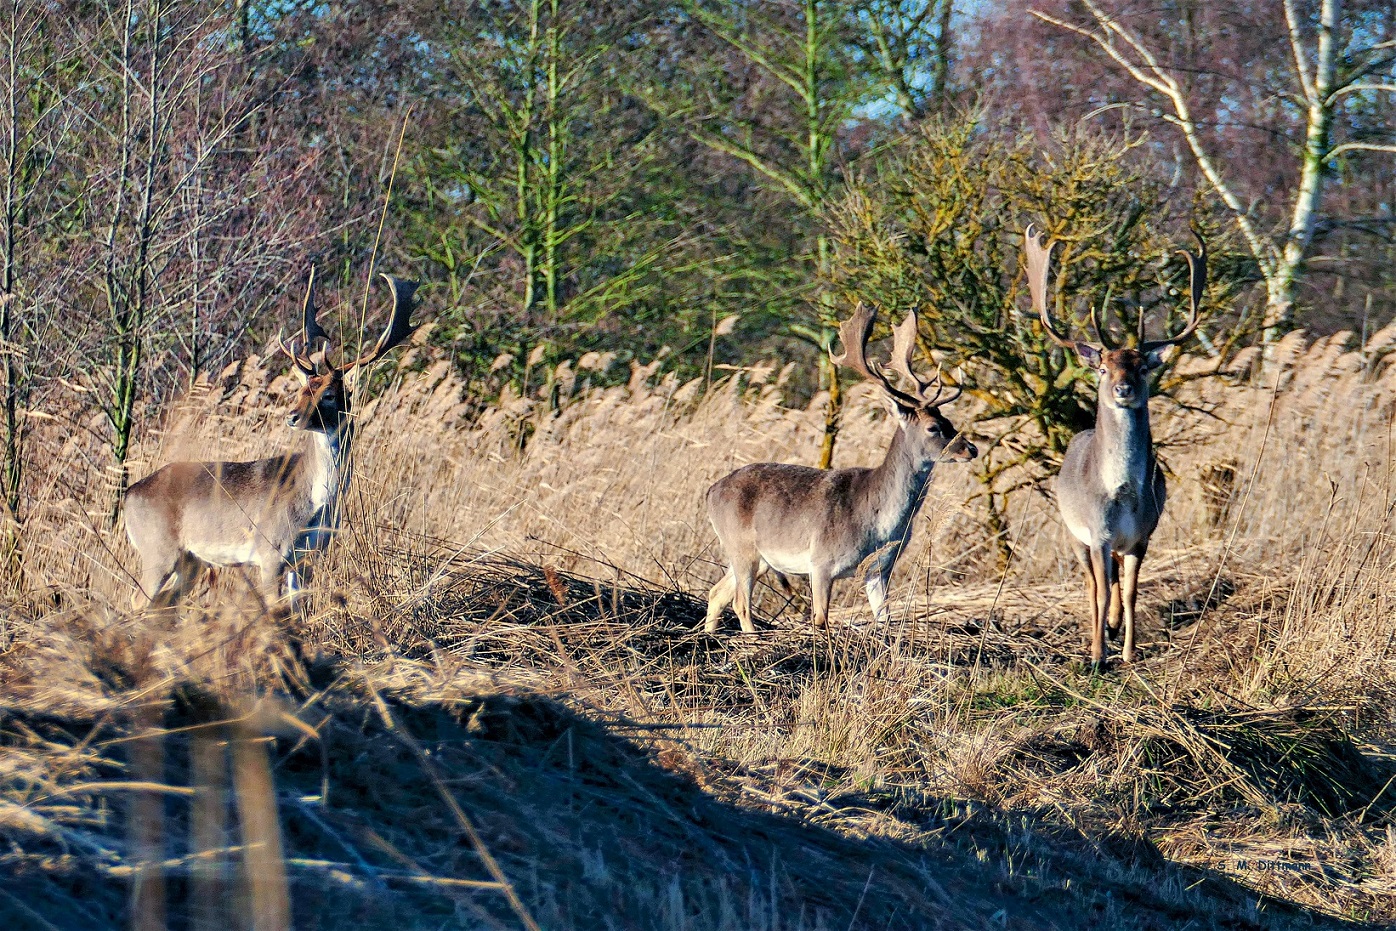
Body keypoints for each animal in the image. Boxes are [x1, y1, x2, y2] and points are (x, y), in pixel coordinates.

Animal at [124, 267, 418, 611]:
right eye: (302, 390)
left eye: (329, 395)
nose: (292, 416)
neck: (316, 502)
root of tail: (130, 493)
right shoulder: (270, 552)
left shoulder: (306, 559)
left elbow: (298, 612)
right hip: (158, 550)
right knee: (136, 601)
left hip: (191, 560)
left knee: (163, 606)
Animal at [703, 305, 977, 633]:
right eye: (933, 427)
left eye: (950, 421)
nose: (971, 449)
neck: (878, 521)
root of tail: (711, 492)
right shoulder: (820, 560)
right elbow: (820, 618)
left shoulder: (880, 568)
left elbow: (884, 619)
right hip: (741, 546)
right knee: (740, 604)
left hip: (756, 558)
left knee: (716, 593)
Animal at [1027, 221, 1211, 667]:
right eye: (1103, 368)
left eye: (1142, 366)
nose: (1123, 389)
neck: (1122, 494)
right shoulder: (1097, 533)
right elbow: (1102, 591)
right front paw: (1097, 654)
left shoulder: (1143, 535)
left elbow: (1129, 593)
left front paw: (1127, 651)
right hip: (1072, 533)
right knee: (1093, 586)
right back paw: (1097, 637)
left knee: (1110, 585)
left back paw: (1111, 630)